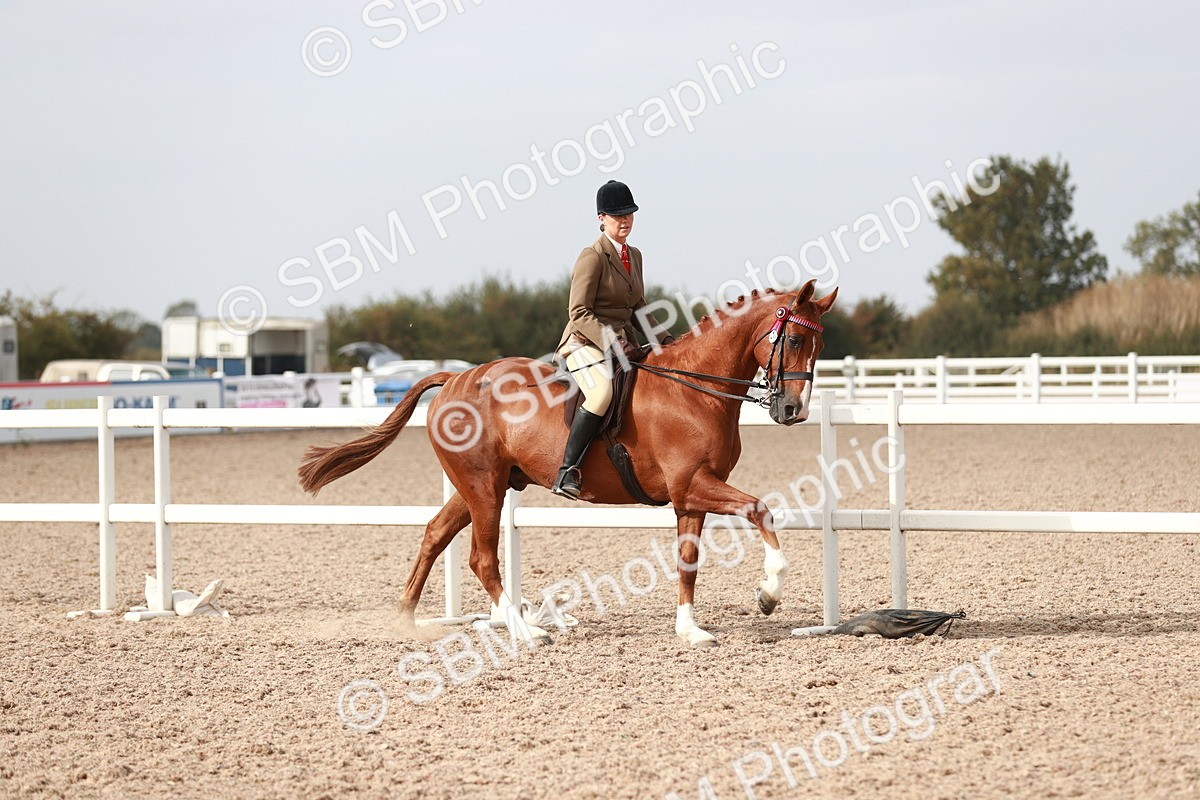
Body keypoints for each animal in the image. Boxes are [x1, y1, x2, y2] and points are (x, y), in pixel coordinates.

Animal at [299, 280, 838, 646]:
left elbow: (688, 562)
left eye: (820, 346)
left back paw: (407, 620)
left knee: (434, 534)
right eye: (793, 340)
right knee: (481, 558)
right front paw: (768, 594)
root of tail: (454, 379)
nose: (794, 410)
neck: (694, 390)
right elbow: (760, 510)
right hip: (485, 489)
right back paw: (524, 631)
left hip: (479, 487)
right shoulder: (693, 485)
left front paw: (691, 630)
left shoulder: (690, 497)